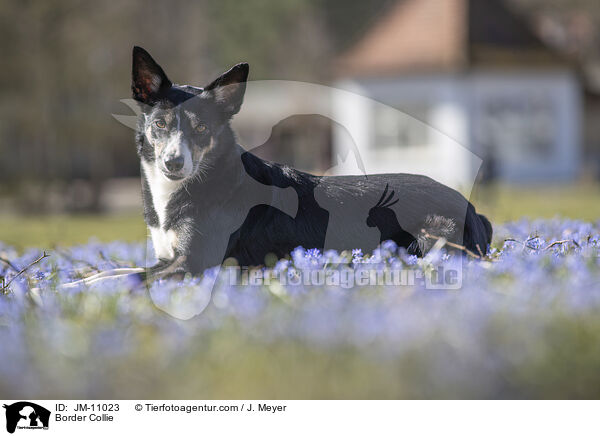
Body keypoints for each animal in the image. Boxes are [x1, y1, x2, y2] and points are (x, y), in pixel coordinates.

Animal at [129, 46, 490, 280]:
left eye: (202, 128)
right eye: (160, 124)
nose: (174, 163)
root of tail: (472, 207)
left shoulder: (195, 261)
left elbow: (131, 277)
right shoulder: (169, 256)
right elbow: (124, 269)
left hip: (432, 234)